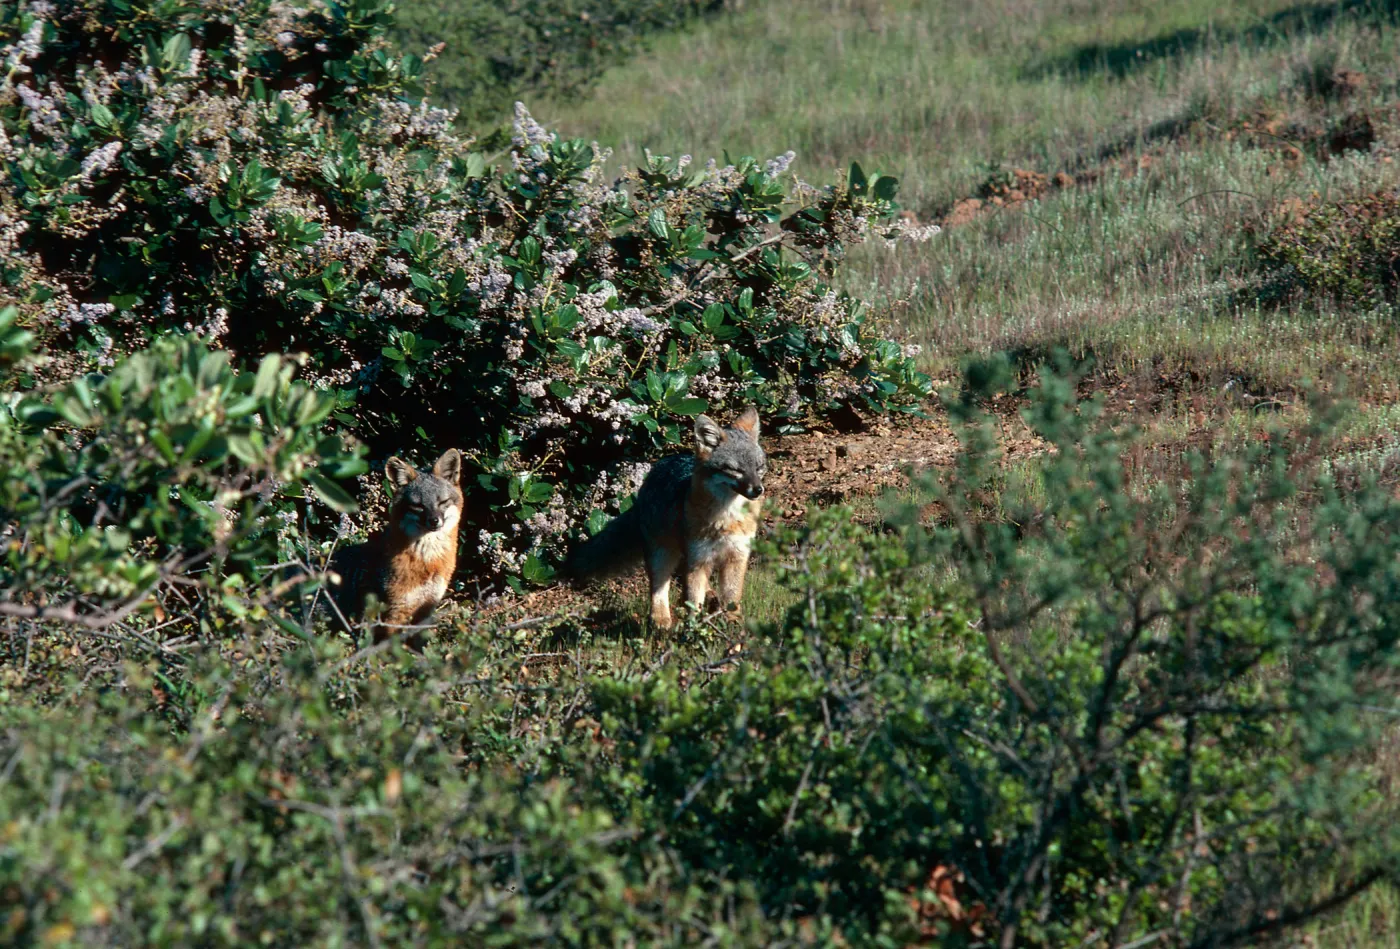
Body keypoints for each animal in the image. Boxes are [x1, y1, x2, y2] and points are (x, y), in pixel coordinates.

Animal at [328, 448, 463, 647]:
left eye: (442, 502)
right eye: (418, 506)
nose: (434, 521)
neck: (427, 564)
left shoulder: (428, 607)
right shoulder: (394, 613)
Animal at [565, 406, 766, 629]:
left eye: (759, 468)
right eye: (736, 470)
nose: (758, 490)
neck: (727, 519)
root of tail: (661, 463)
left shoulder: (737, 557)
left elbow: (732, 596)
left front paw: (733, 622)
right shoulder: (697, 558)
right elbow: (692, 600)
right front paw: (693, 628)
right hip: (662, 555)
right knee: (659, 588)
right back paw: (661, 618)